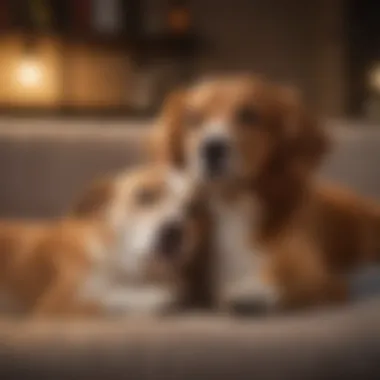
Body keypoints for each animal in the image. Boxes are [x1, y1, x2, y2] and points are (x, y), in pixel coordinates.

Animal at [153, 73, 380, 312]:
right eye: (192, 119)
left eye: (249, 115)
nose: (212, 148)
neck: (232, 205)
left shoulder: (326, 282)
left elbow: (279, 287)